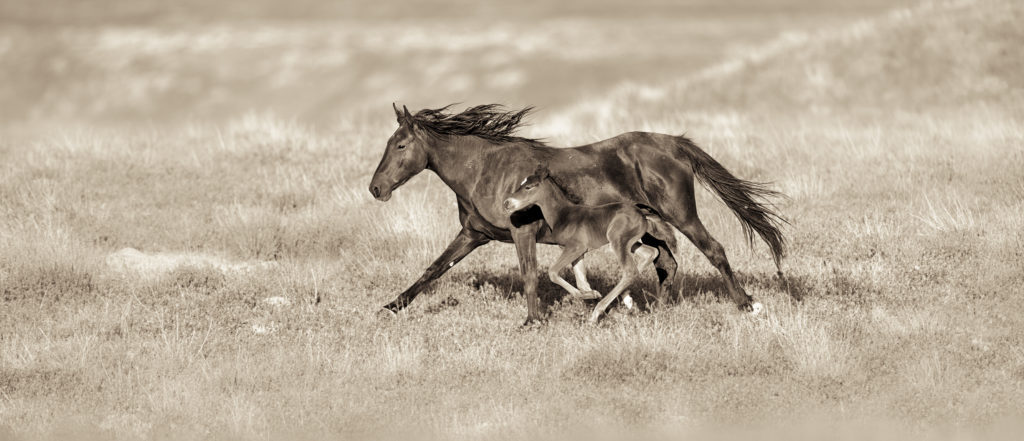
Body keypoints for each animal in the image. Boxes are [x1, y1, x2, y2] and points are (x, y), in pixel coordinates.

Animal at [505, 167, 679, 323]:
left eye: (528, 187)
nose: (507, 203)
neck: (563, 214)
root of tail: (642, 214)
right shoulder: (576, 251)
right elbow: (582, 280)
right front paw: (589, 294)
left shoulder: (576, 247)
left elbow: (553, 272)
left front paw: (591, 295)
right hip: (631, 242)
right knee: (650, 253)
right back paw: (625, 296)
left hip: (617, 240)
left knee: (630, 271)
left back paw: (596, 314)